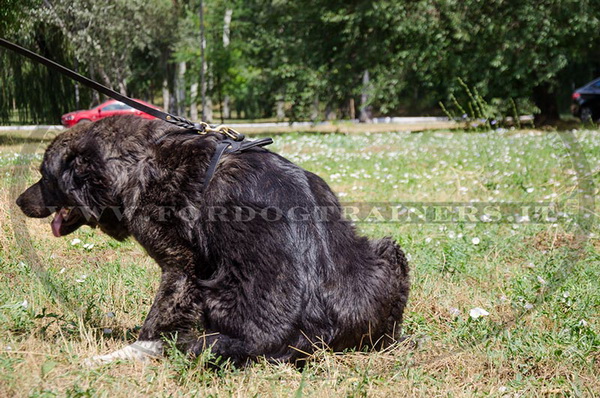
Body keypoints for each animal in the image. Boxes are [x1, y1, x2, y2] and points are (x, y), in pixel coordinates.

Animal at [15, 115, 408, 366]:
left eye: (45, 177)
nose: (18, 201)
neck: (140, 158)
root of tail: (314, 330)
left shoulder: (180, 265)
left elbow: (156, 322)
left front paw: (130, 349)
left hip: (213, 292)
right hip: (388, 253)